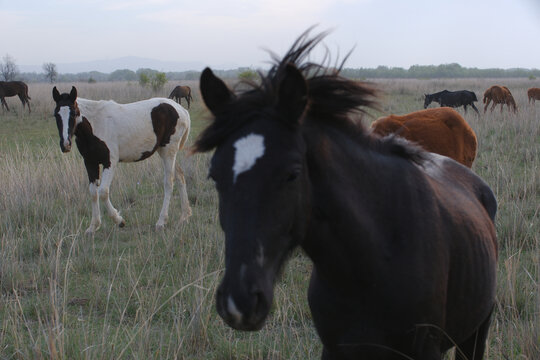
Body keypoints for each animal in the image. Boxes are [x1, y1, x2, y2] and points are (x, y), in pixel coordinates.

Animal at [52, 86, 192, 233]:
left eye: (73, 113)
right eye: (56, 114)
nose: (65, 145)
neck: (95, 124)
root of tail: (181, 110)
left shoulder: (110, 162)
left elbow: (103, 192)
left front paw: (119, 220)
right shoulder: (90, 162)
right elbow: (93, 193)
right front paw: (93, 226)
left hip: (168, 151)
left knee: (169, 182)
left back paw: (161, 221)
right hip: (166, 152)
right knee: (180, 177)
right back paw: (184, 216)